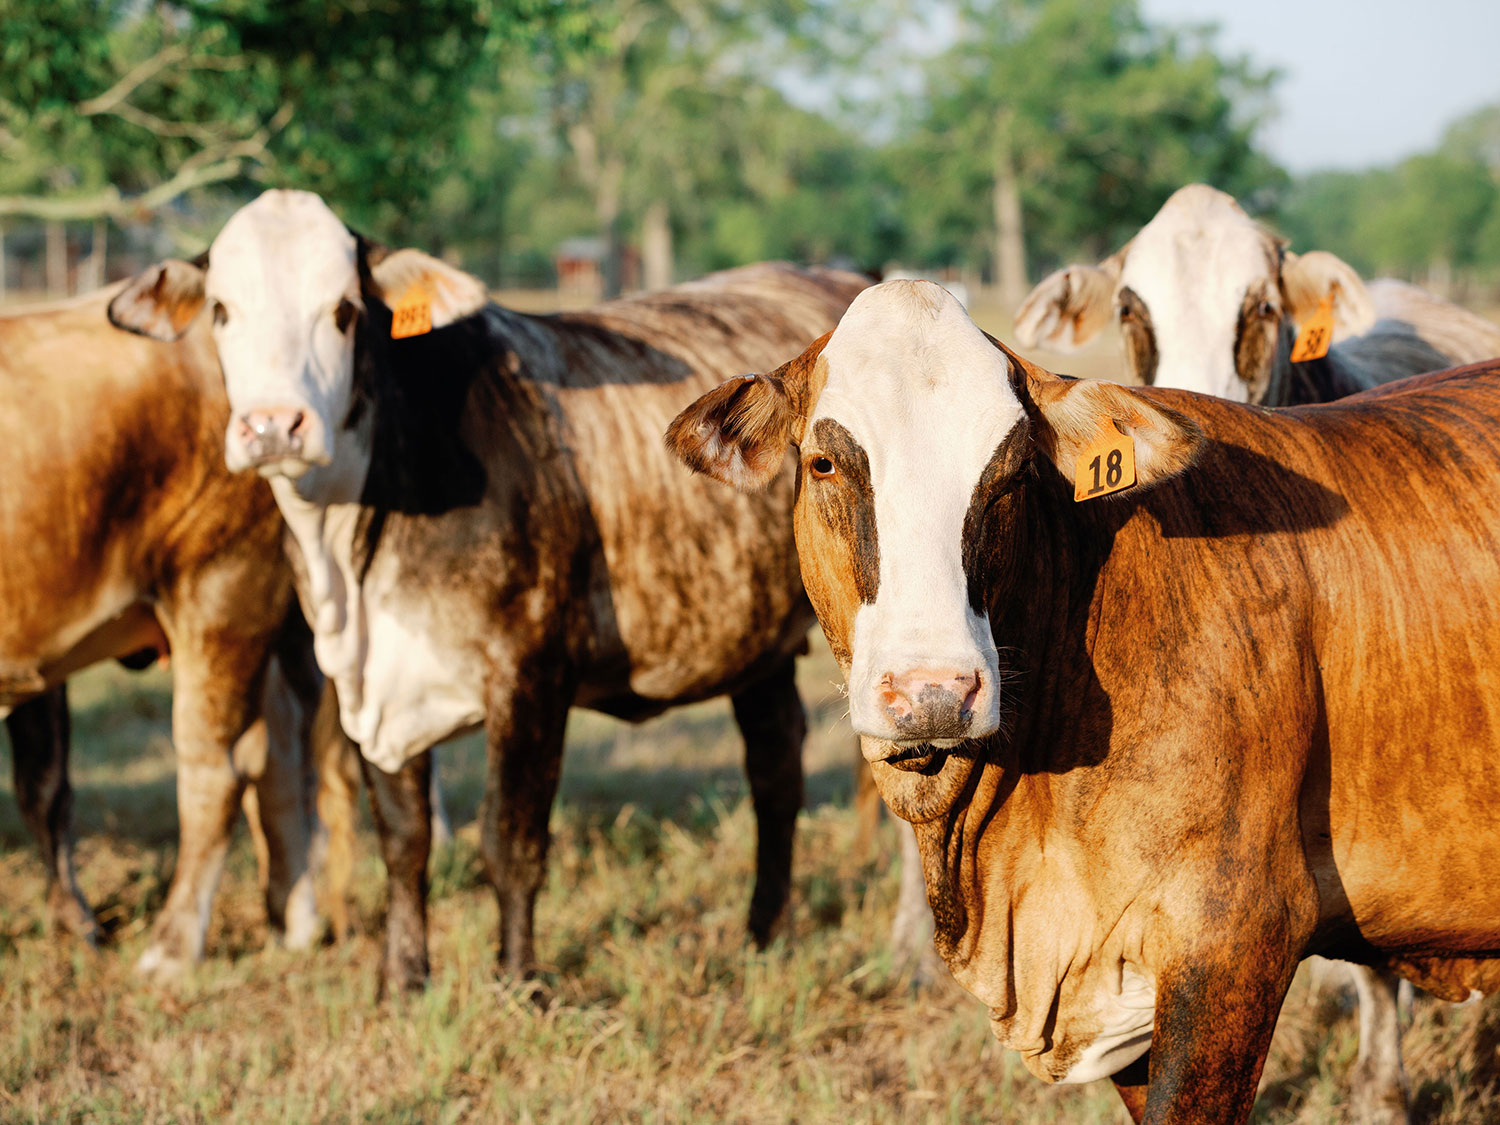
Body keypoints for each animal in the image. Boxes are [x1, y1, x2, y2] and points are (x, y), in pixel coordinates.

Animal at [0, 283, 328, 978]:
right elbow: (43, 787)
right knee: (281, 750)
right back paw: (293, 920)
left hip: (221, 588)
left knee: (219, 767)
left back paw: (173, 947)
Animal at [108, 192, 870, 996]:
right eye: (221, 309)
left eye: (344, 310)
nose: (273, 426)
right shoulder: (365, 687)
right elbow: (404, 840)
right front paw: (402, 979)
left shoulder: (529, 677)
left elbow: (511, 840)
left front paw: (520, 983)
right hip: (753, 640)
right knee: (776, 766)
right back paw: (762, 931)